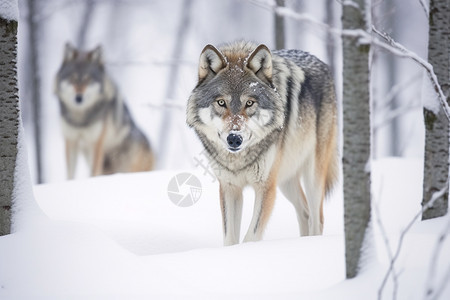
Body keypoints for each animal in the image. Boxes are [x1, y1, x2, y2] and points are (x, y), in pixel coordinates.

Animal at [53, 43, 153, 179]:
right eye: (72, 79)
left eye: (88, 79)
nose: (78, 98)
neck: (80, 118)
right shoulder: (71, 141)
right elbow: (70, 174)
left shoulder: (96, 144)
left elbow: (93, 172)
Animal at [186, 41, 338, 245]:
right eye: (221, 102)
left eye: (249, 103)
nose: (234, 138)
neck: (238, 159)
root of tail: (323, 64)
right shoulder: (229, 188)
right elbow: (230, 239)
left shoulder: (266, 187)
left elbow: (251, 237)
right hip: (286, 180)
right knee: (305, 213)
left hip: (312, 176)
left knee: (317, 218)